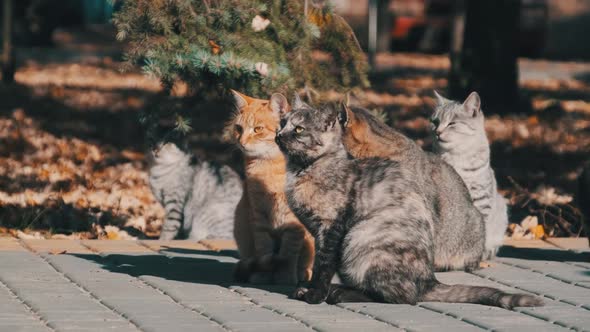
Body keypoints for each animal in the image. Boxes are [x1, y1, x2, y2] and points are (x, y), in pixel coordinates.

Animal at [230, 91, 316, 286]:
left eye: (258, 129)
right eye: (238, 128)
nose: (241, 141)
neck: (268, 168)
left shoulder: (293, 222)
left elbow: (288, 254)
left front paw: (285, 277)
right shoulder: (258, 216)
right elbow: (264, 249)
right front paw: (263, 275)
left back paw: (302, 274)